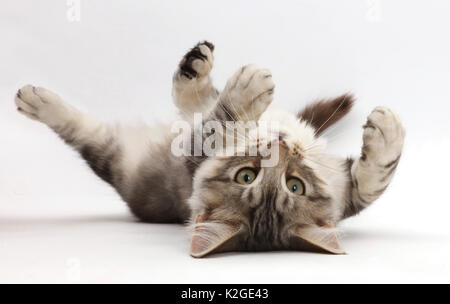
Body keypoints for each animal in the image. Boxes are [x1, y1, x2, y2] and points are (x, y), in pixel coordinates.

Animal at [14, 41, 404, 258]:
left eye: (294, 186)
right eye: (246, 175)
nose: (279, 145)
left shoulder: (345, 192)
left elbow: (373, 183)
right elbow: (216, 121)